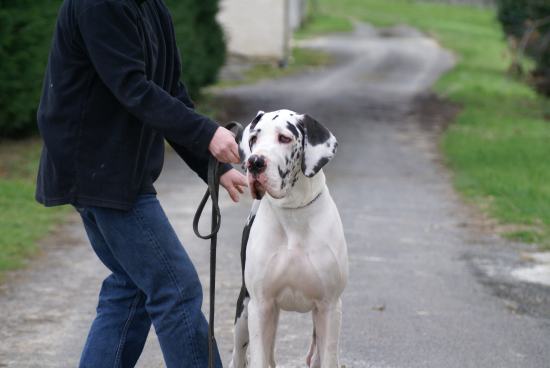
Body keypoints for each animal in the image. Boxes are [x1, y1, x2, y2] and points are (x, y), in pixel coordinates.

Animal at [231, 109, 352, 368]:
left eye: (284, 138)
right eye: (254, 138)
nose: (254, 162)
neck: (293, 213)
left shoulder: (329, 307)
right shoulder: (261, 306)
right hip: (244, 312)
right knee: (239, 356)